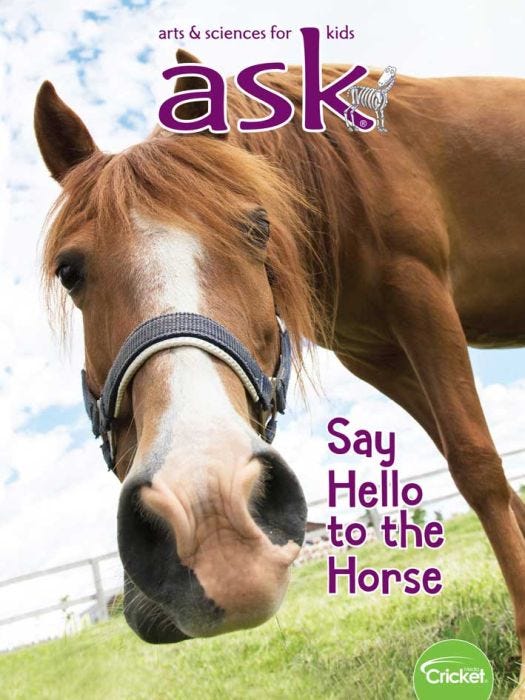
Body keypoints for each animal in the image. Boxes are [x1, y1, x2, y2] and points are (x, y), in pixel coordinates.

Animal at [34, 49, 525, 691]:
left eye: (258, 228)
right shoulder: (381, 356)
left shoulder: (420, 296)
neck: (343, 177)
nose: (211, 517)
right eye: (69, 271)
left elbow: (479, 468)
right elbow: (482, 472)